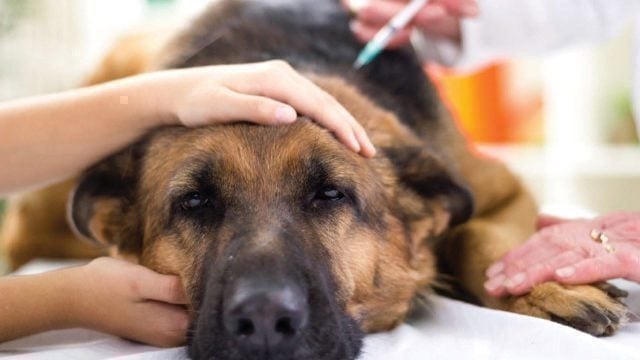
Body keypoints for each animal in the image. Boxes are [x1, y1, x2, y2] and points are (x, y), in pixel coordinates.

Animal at [0, 0, 632, 360]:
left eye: (330, 195)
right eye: (195, 202)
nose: (262, 321)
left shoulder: (501, 190)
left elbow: (478, 235)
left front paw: (543, 287)